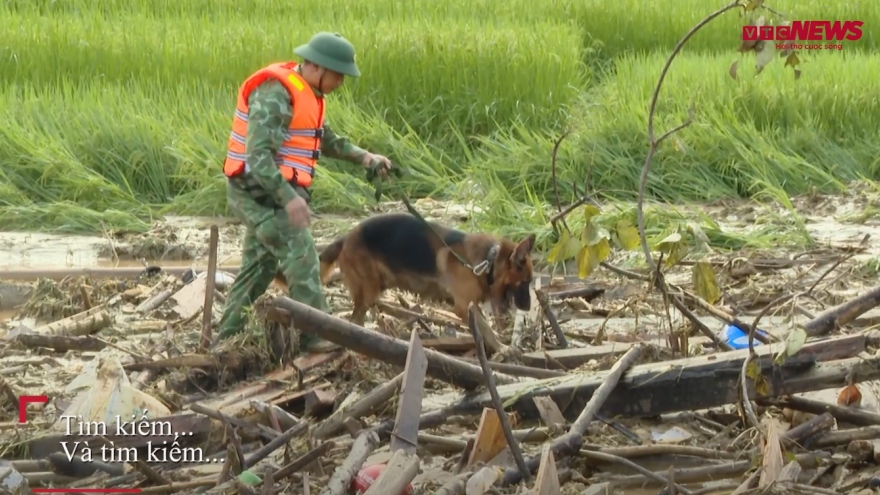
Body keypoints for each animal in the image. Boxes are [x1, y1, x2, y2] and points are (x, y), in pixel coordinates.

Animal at [316, 212, 536, 326]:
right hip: (368, 291)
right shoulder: (463, 307)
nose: (528, 308)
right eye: (526, 281)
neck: (488, 261)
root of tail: (346, 237)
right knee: (355, 318)